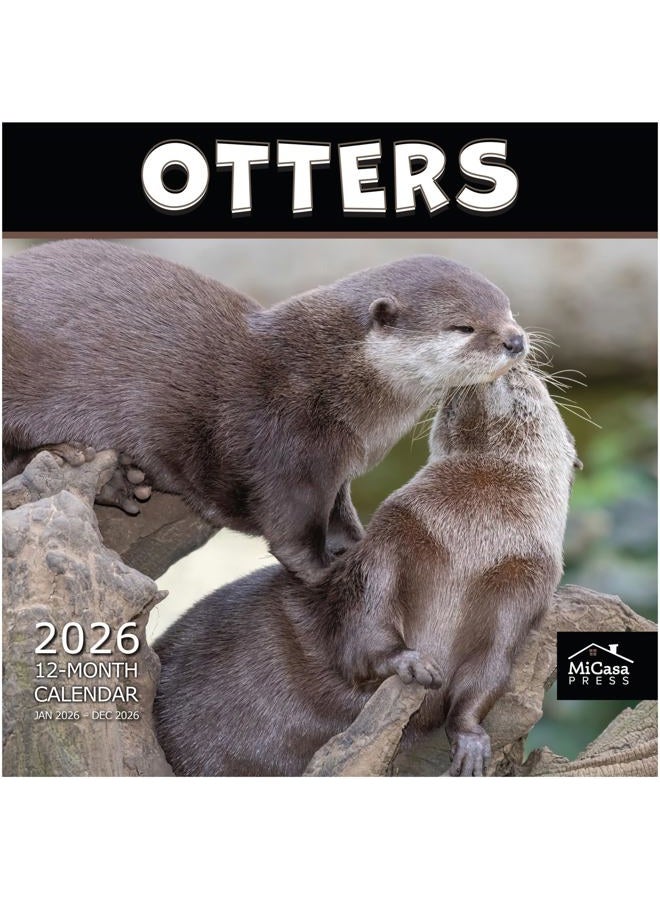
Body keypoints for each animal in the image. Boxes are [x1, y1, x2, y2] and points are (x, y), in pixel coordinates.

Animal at [3, 240, 526, 581]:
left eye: (508, 309)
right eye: (462, 326)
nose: (516, 340)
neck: (328, 381)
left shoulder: (335, 465)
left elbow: (340, 511)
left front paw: (356, 545)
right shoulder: (287, 445)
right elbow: (290, 530)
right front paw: (326, 571)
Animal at [153, 362, 580, 776]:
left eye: (533, 383)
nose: (514, 362)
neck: (470, 544)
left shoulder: (523, 586)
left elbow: (490, 670)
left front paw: (471, 741)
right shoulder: (391, 539)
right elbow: (365, 625)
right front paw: (410, 662)